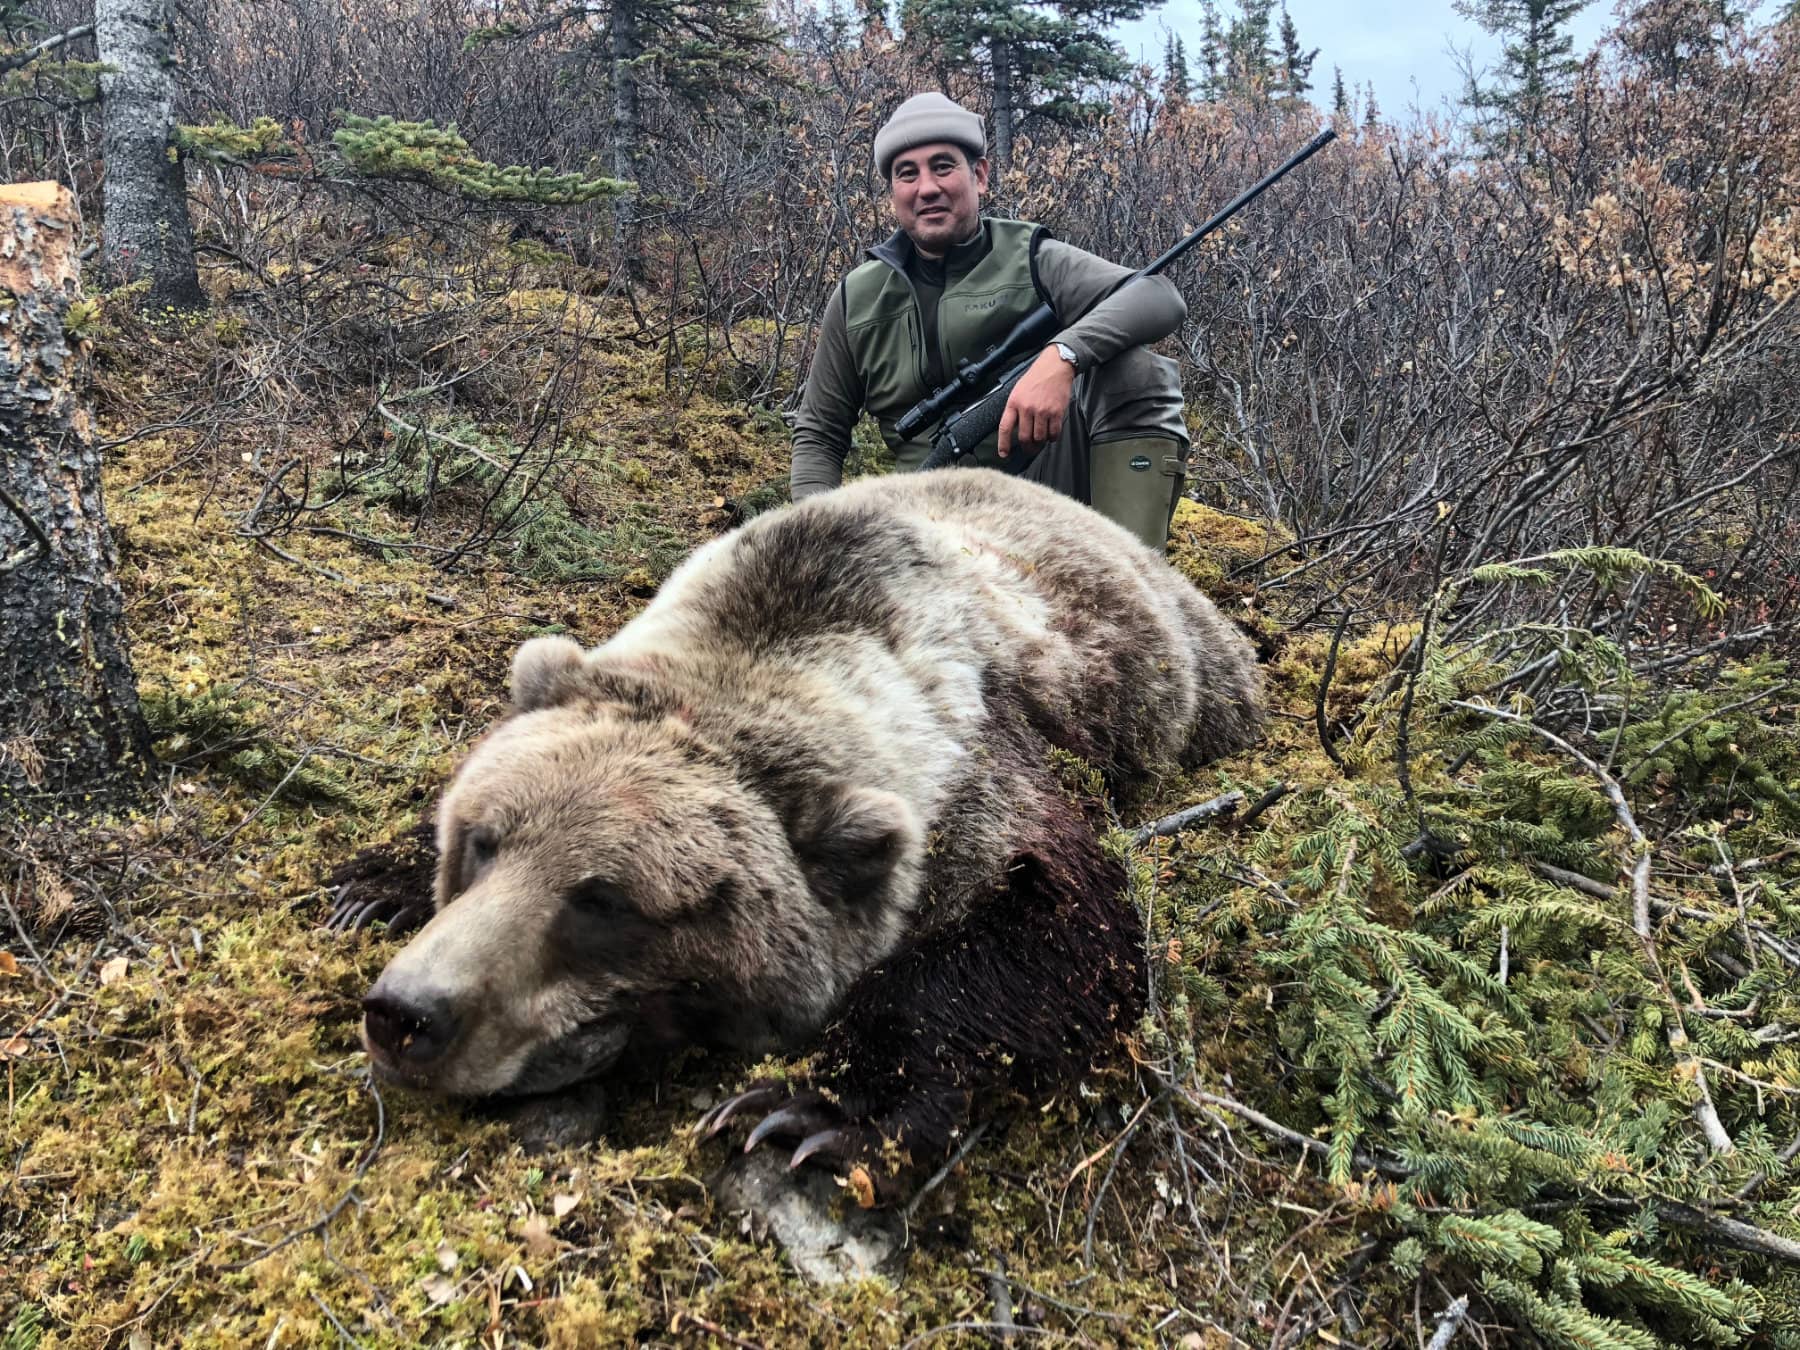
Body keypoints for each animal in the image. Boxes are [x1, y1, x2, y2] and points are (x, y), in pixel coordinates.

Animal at [343, 471, 1260, 1202]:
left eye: (603, 901)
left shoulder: (984, 767)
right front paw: (371, 887)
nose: (408, 1014)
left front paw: (806, 1111)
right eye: (481, 842)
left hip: (1202, 684)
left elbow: (1062, 924)